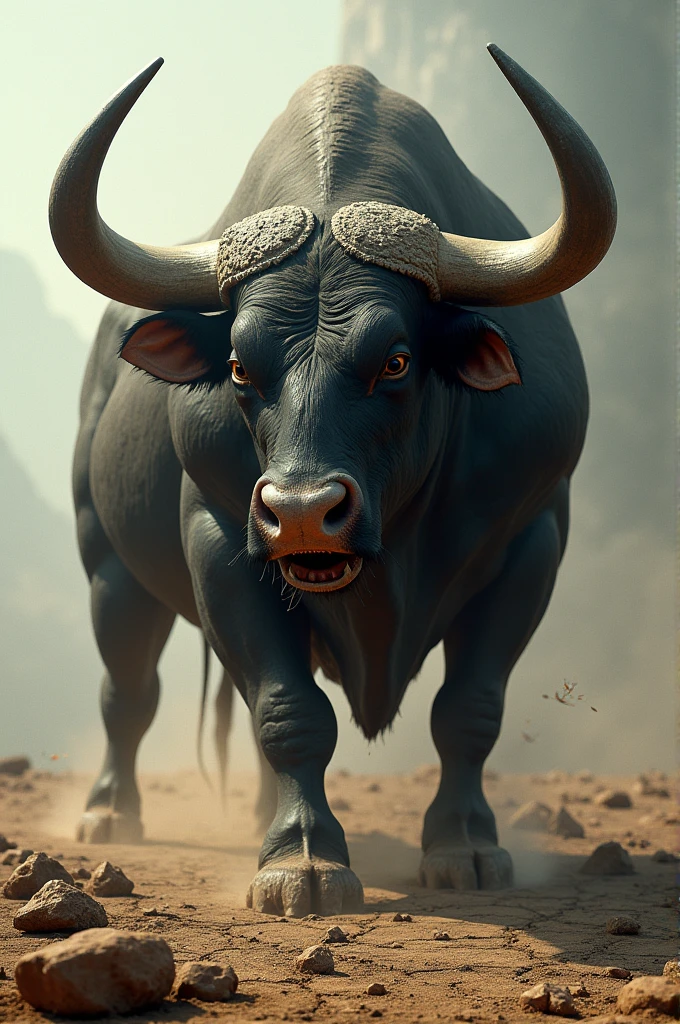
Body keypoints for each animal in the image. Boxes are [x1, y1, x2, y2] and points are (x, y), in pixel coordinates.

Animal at [49, 45, 615, 917]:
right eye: (239, 366)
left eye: (397, 360)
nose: (303, 515)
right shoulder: (220, 538)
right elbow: (289, 712)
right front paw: (301, 859)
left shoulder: (531, 539)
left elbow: (470, 710)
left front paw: (466, 846)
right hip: (107, 563)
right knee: (129, 690)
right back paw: (111, 813)